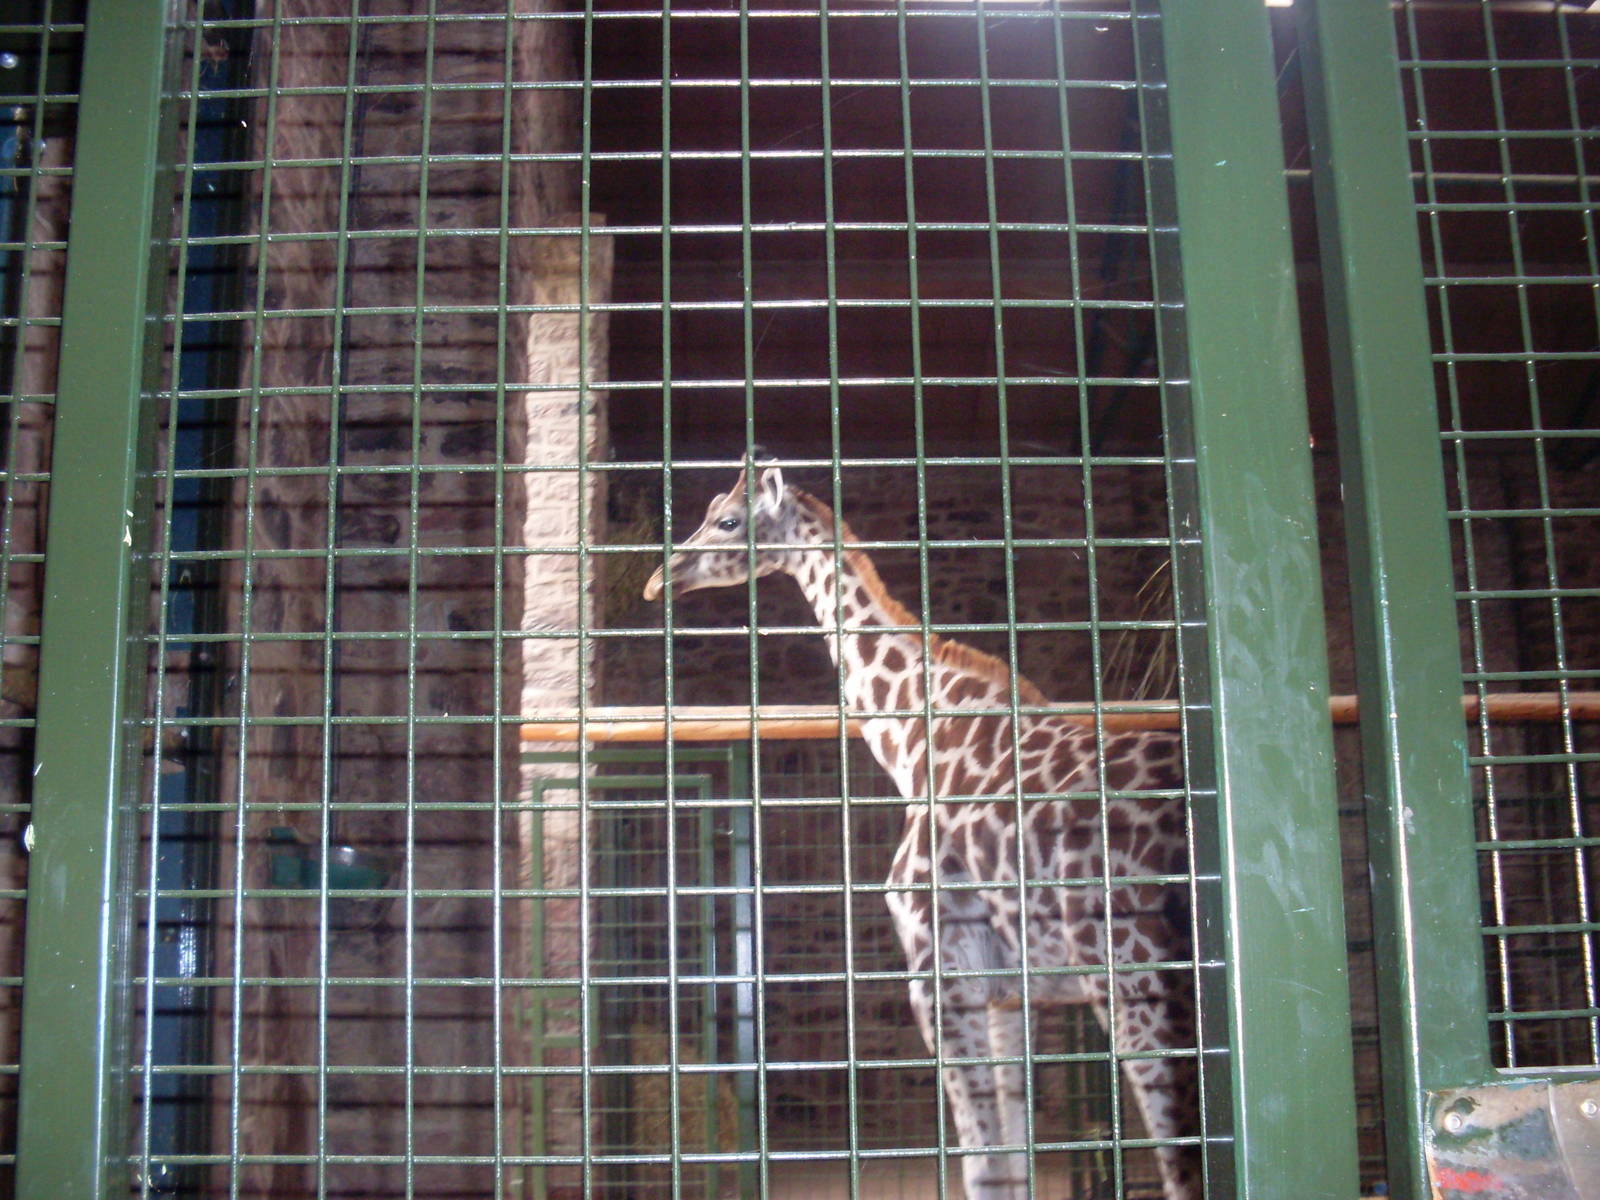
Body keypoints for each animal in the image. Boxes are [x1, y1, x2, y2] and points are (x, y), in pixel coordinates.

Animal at [643, 464, 1200, 1200]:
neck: (912, 742)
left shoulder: (938, 970)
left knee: (1183, 1156)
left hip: (1133, 969)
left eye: (728, 520)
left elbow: (981, 1166)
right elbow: (1012, 1161)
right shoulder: (1009, 988)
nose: (660, 578)